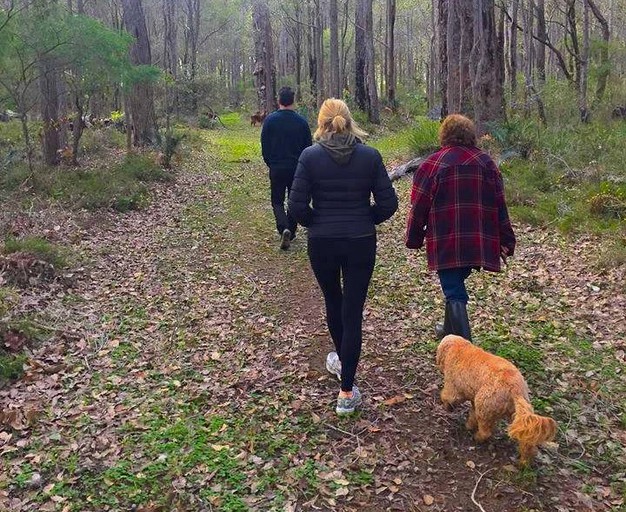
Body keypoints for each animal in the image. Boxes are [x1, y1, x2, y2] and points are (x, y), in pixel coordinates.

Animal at [434, 334, 556, 466]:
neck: (460, 347)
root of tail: (516, 390)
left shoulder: (454, 387)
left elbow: (448, 397)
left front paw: (447, 406)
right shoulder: (474, 400)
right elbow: (472, 414)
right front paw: (469, 425)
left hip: (484, 405)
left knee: (486, 431)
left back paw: (478, 437)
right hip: (510, 414)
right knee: (527, 443)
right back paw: (524, 462)